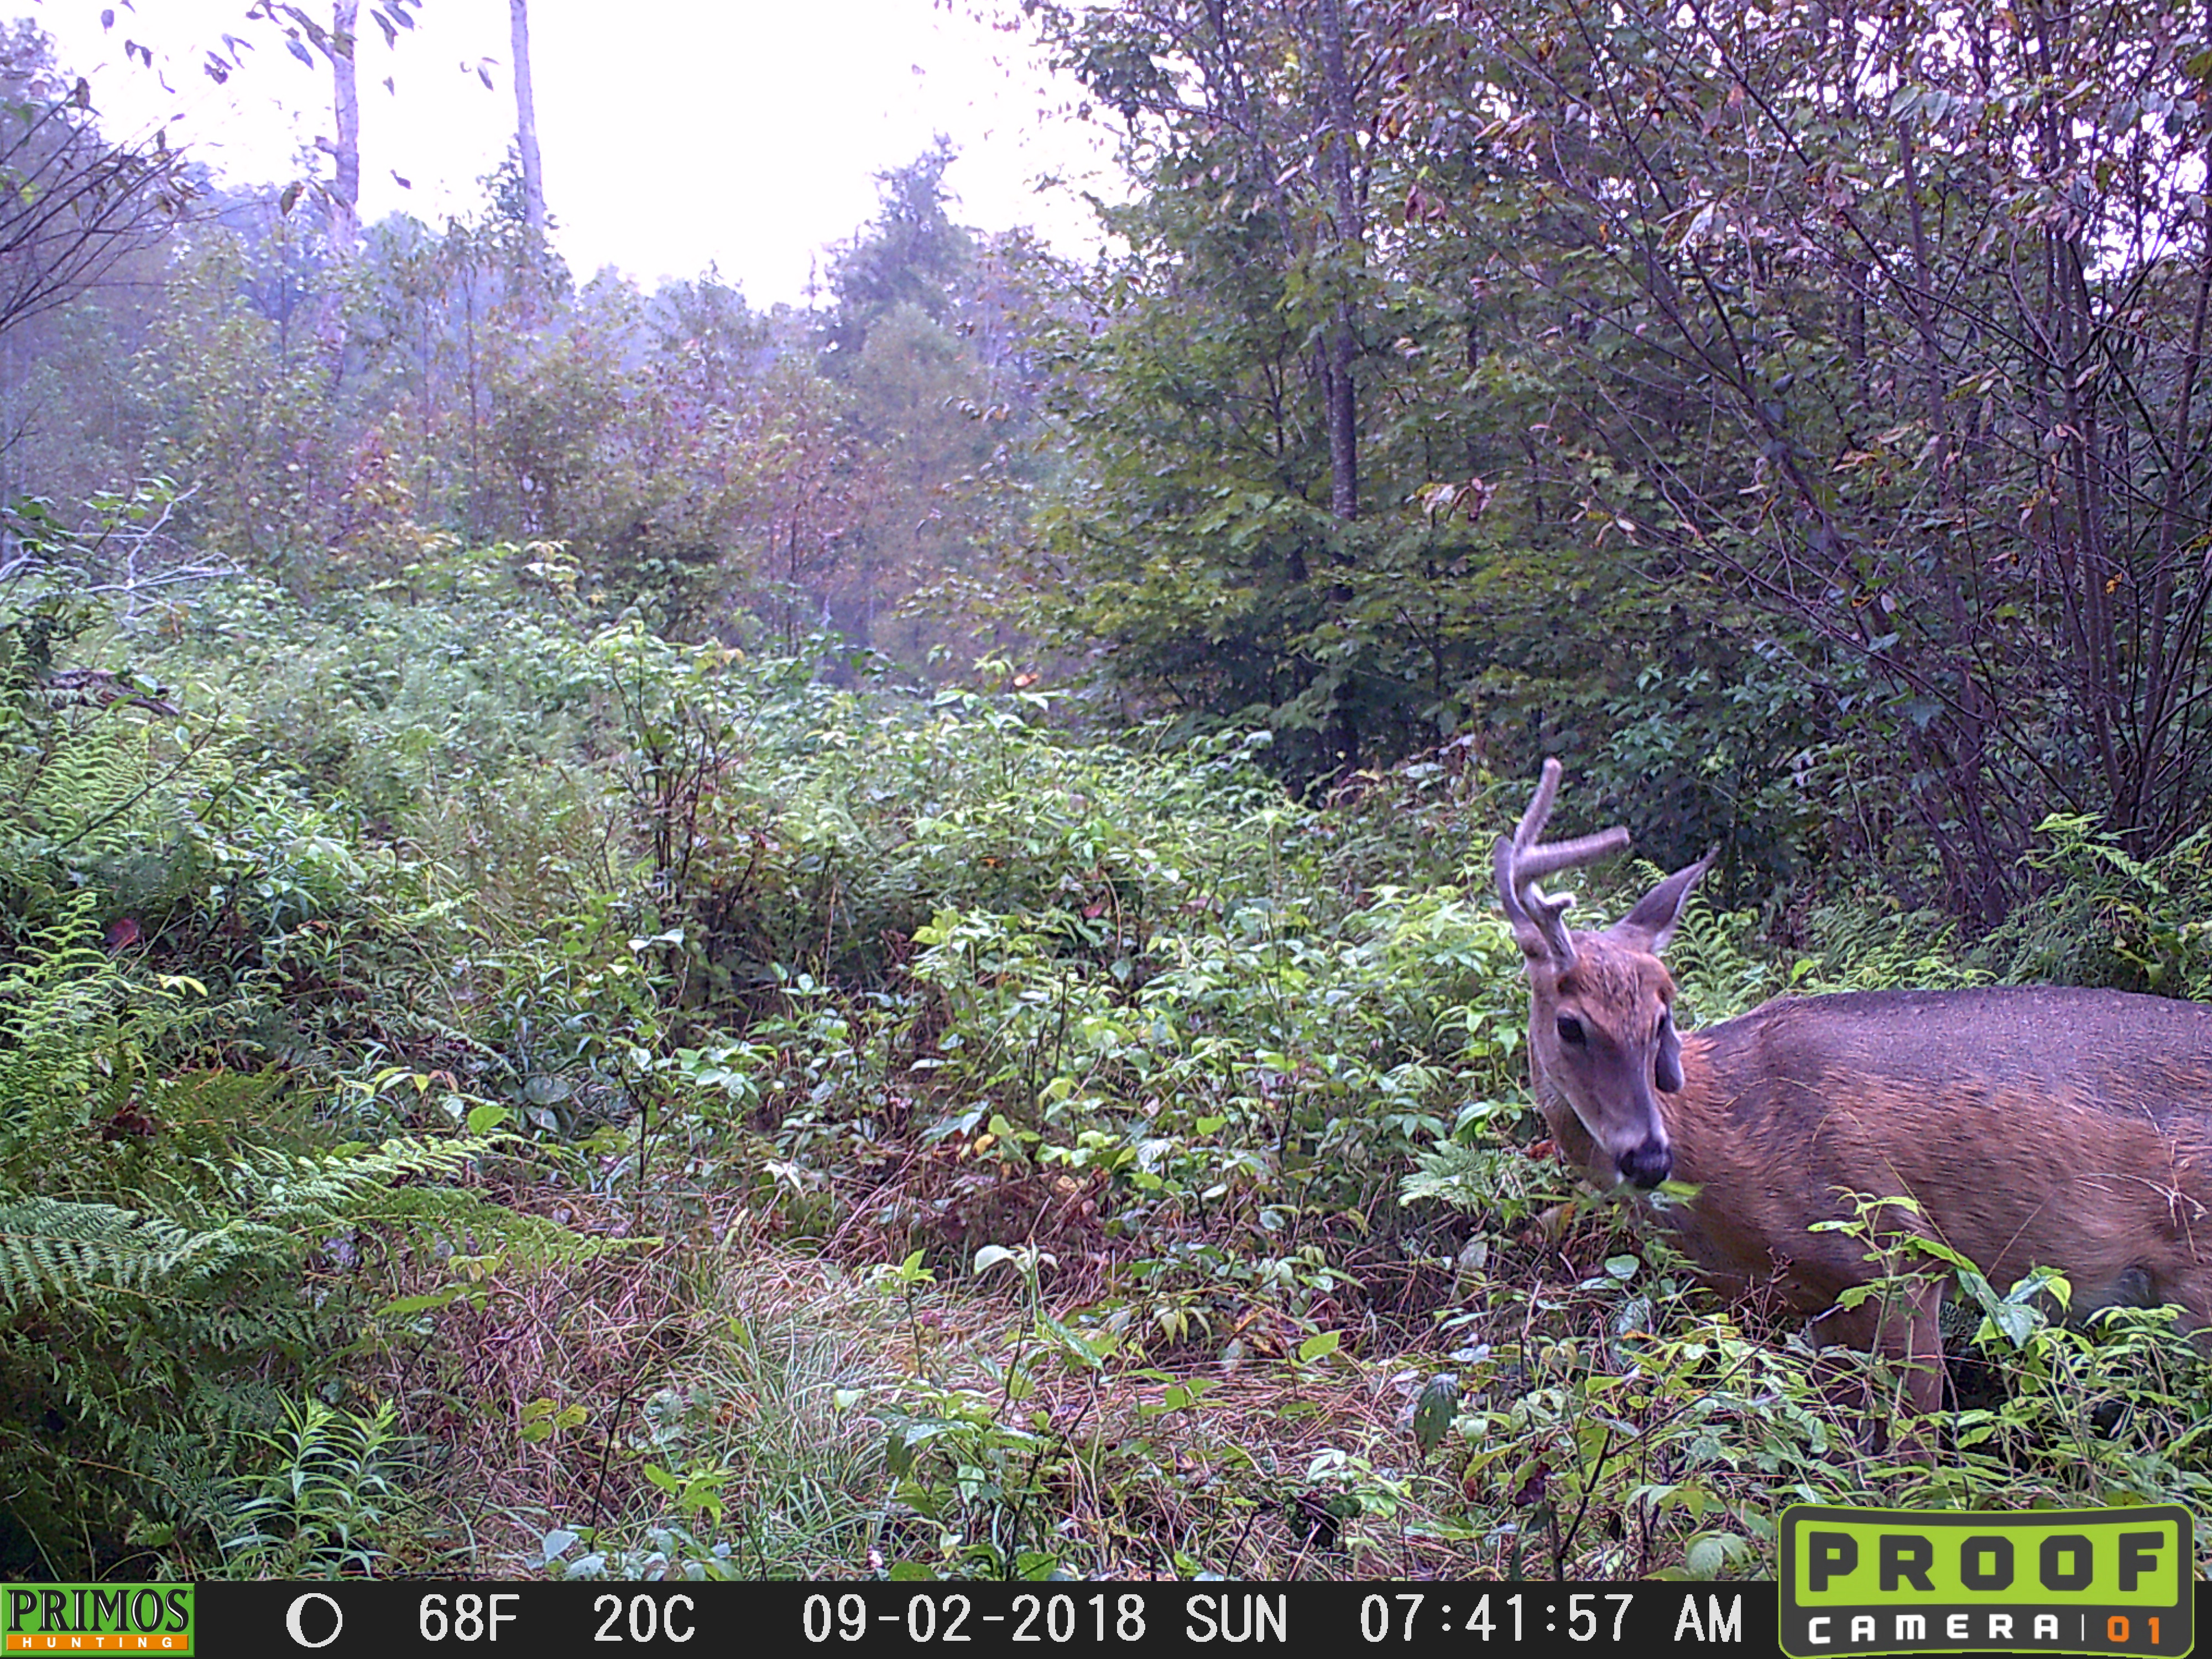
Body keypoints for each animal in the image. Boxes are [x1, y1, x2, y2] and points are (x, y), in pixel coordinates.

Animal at [1495, 765, 2212, 1416]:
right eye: (1570, 1025)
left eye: (1660, 1017)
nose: (1648, 1157)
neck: (1728, 1131)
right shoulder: (1817, 1304)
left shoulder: (1895, 1254)